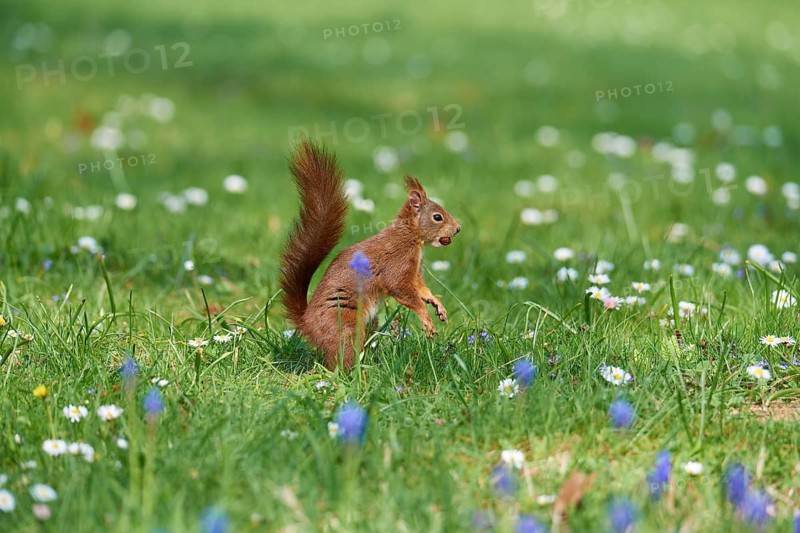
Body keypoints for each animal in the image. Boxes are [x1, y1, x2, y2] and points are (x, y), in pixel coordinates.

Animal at [279, 140, 461, 370]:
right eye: (437, 217)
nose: (458, 229)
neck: (410, 236)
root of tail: (306, 322)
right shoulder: (397, 266)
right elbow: (403, 290)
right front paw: (426, 319)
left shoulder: (414, 273)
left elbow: (420, 288)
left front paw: (437, 305)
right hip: (345, 327)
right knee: (341, 361)